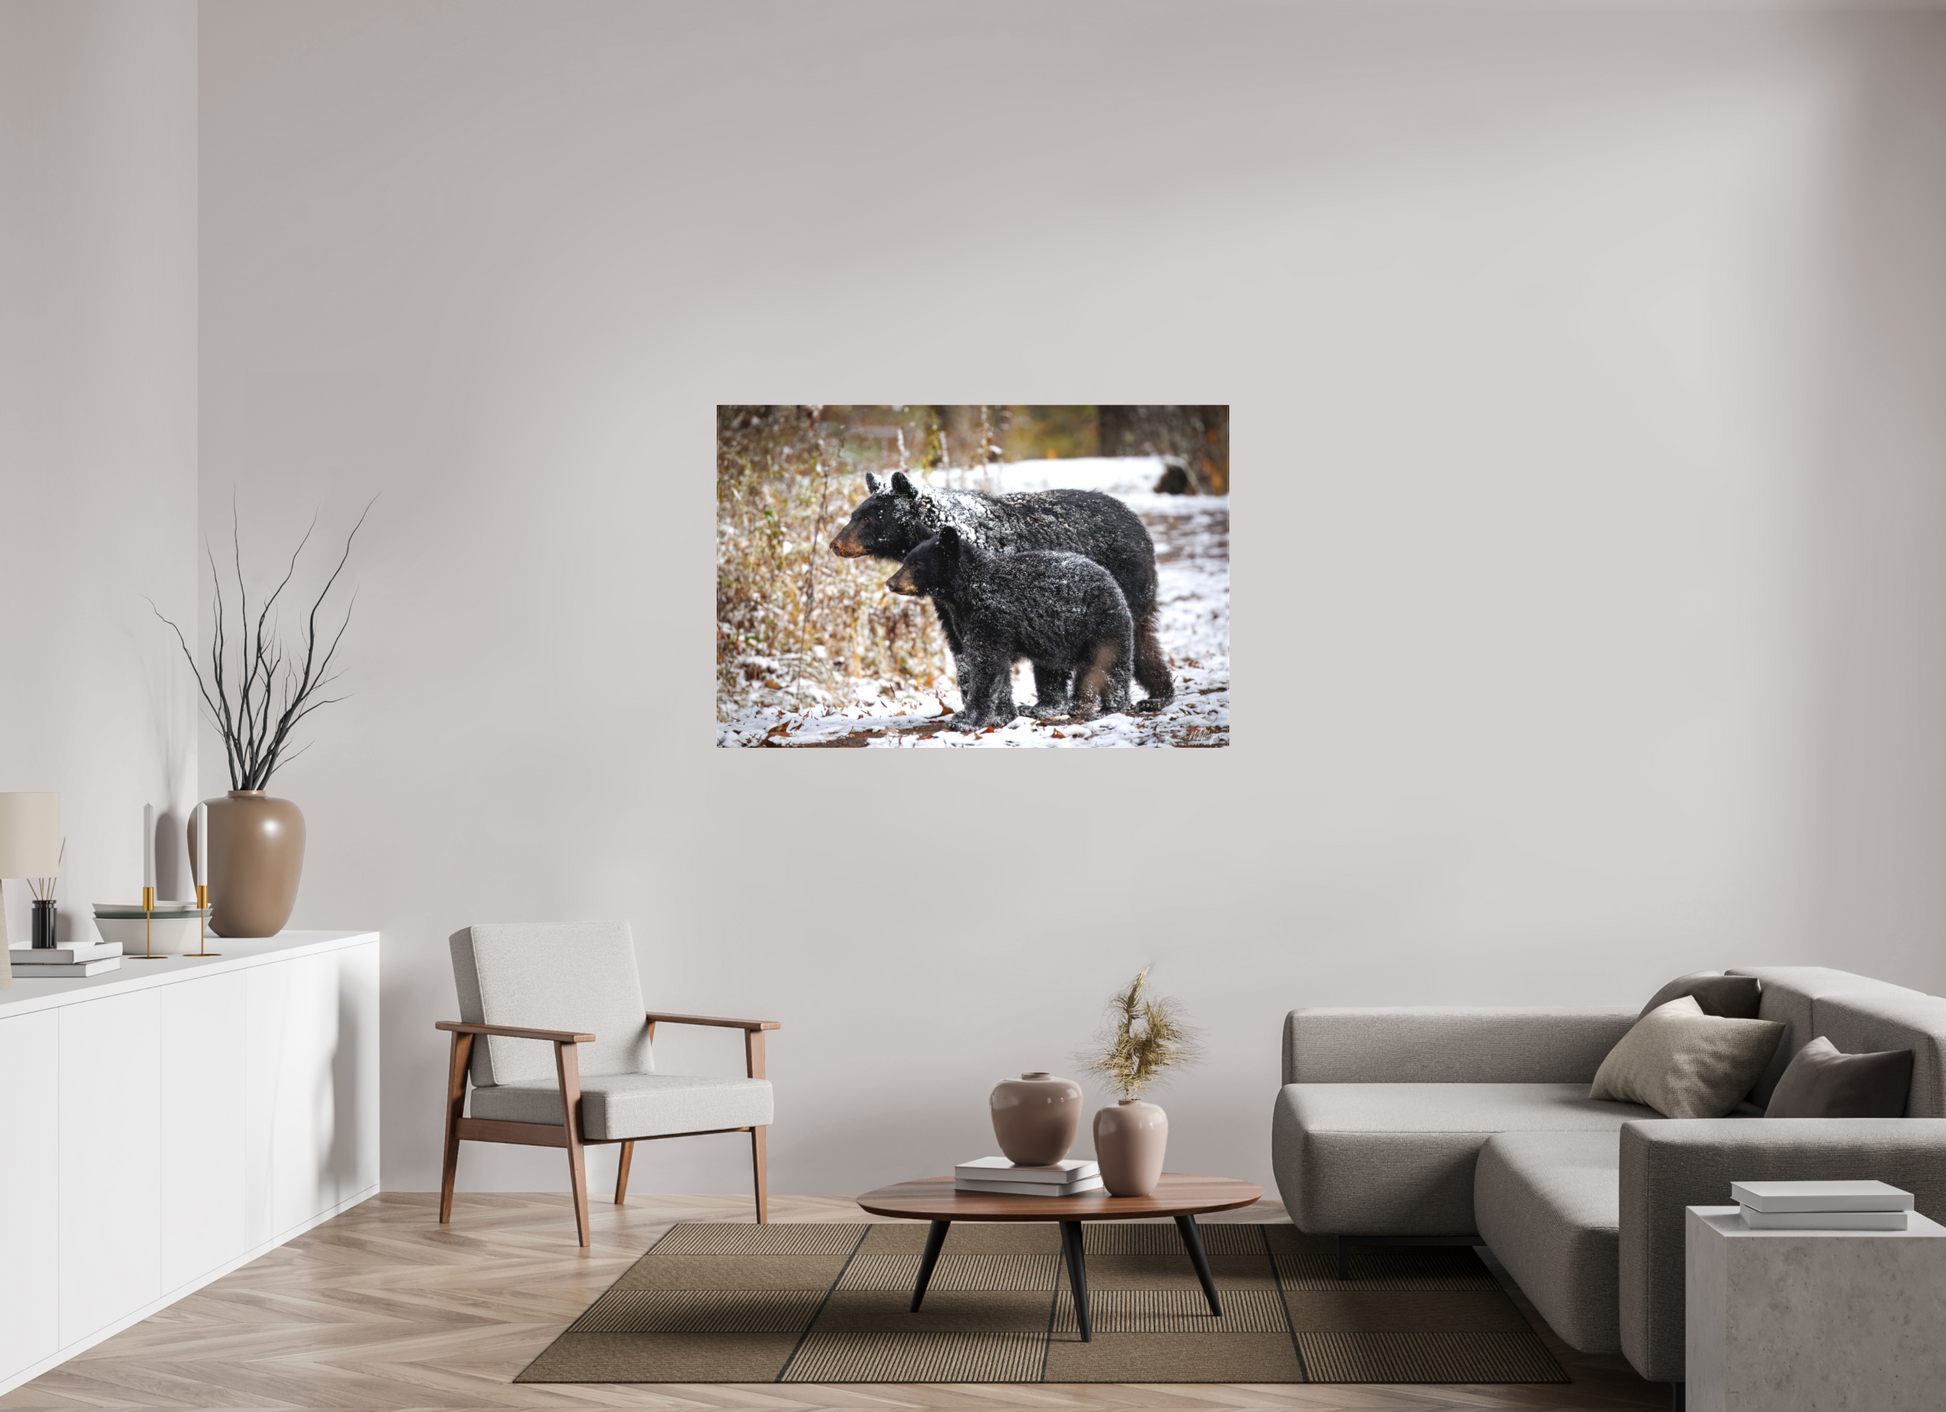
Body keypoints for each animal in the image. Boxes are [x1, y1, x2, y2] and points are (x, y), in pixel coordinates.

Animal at [885, 527, 1134, 731]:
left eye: (916, 564)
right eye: (906, 560)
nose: (890, 583)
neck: (966, 590)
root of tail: (1109, 579)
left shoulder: (991, 616)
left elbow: (986, 667)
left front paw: (969, 721)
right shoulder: (970, 622)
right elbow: (998, 671)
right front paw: (1002, 716)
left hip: (1101, 624)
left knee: (1112, 666)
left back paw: (1111, 708)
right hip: (1053, 640)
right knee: (1049, 671)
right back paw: (1044, 708)